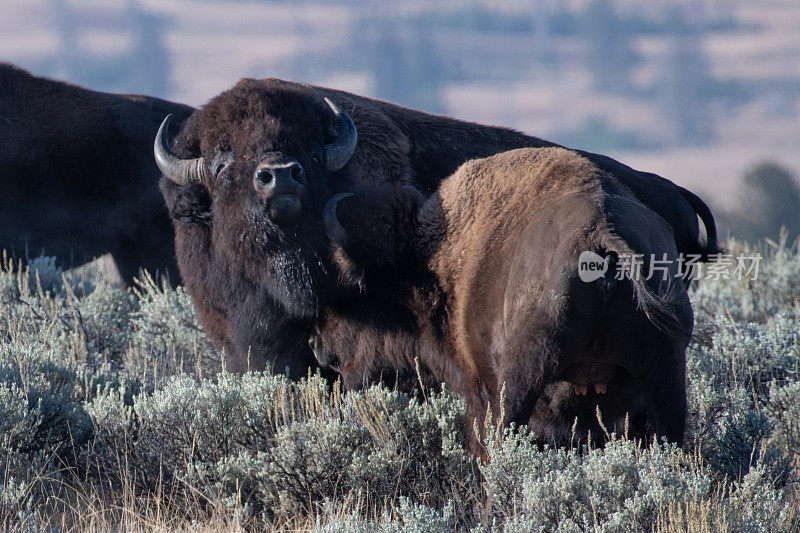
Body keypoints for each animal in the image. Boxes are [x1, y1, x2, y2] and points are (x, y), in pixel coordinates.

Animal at [314, 148, 692, 446]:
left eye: (357, 293)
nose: (319, 347)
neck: (435, 256)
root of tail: (602, 234)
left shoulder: (478, 388)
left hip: (520, 382)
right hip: (668, 376)